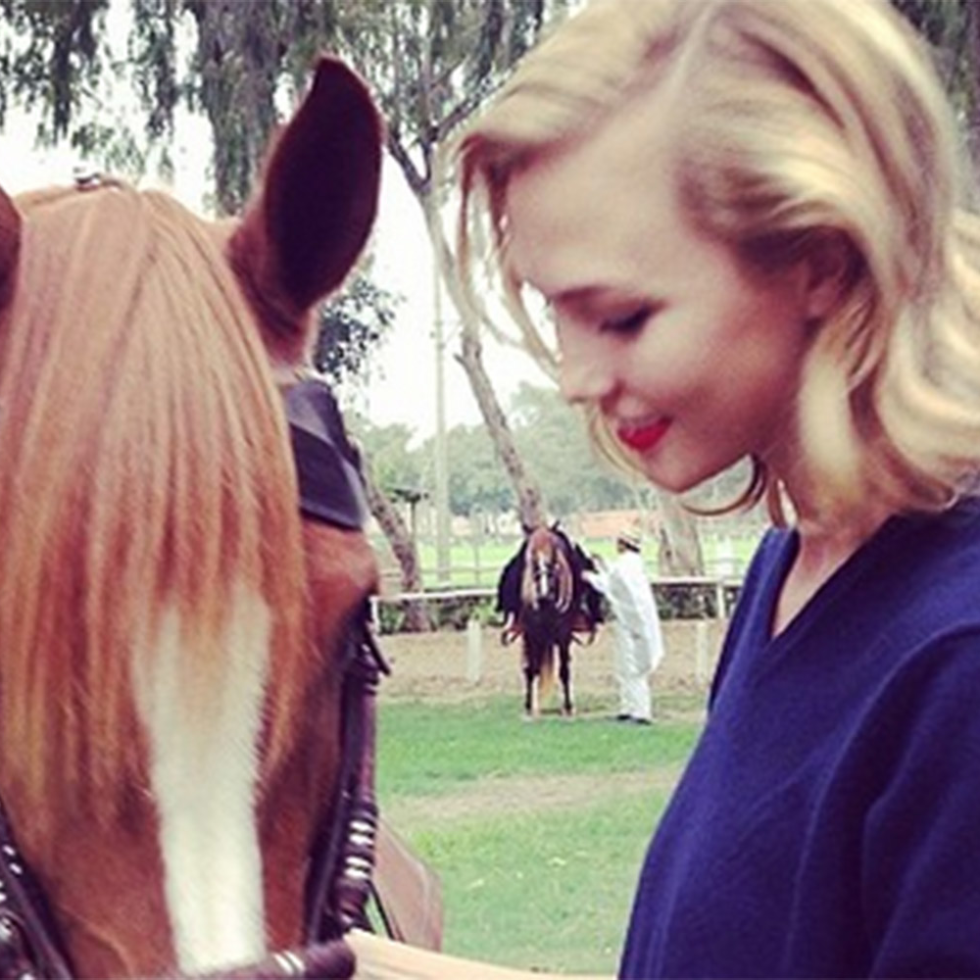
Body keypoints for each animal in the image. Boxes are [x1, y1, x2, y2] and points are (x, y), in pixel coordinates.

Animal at [494, 524, 600, 716]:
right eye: (533, 562)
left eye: (553, 562)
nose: (543, 595)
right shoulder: (531, 634)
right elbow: (531, 669)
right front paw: (529, 706)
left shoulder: (564, 635)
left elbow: (564, 671)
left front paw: (568, 706)